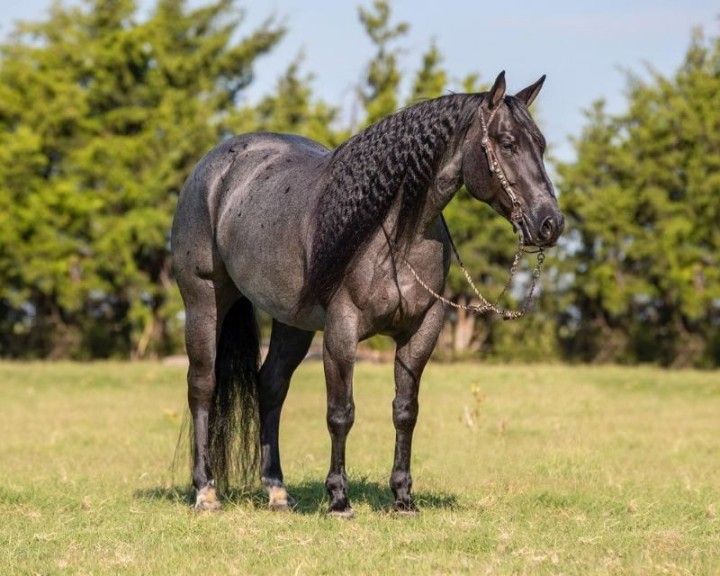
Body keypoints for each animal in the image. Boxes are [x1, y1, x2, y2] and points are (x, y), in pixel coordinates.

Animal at [170, 71, 564, 516]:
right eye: (507, 143)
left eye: (541, 145)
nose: (550, 223)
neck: (393, 233)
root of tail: (215, 167)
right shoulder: (342, 331)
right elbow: (341, 413)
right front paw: (339, 499)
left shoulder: (421, 332)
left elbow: (405, 411)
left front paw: (403, 498)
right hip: (204, 301)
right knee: (202, 385)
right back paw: (206, 491)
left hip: (293, 322)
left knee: (270, 386)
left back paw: (278, 491)